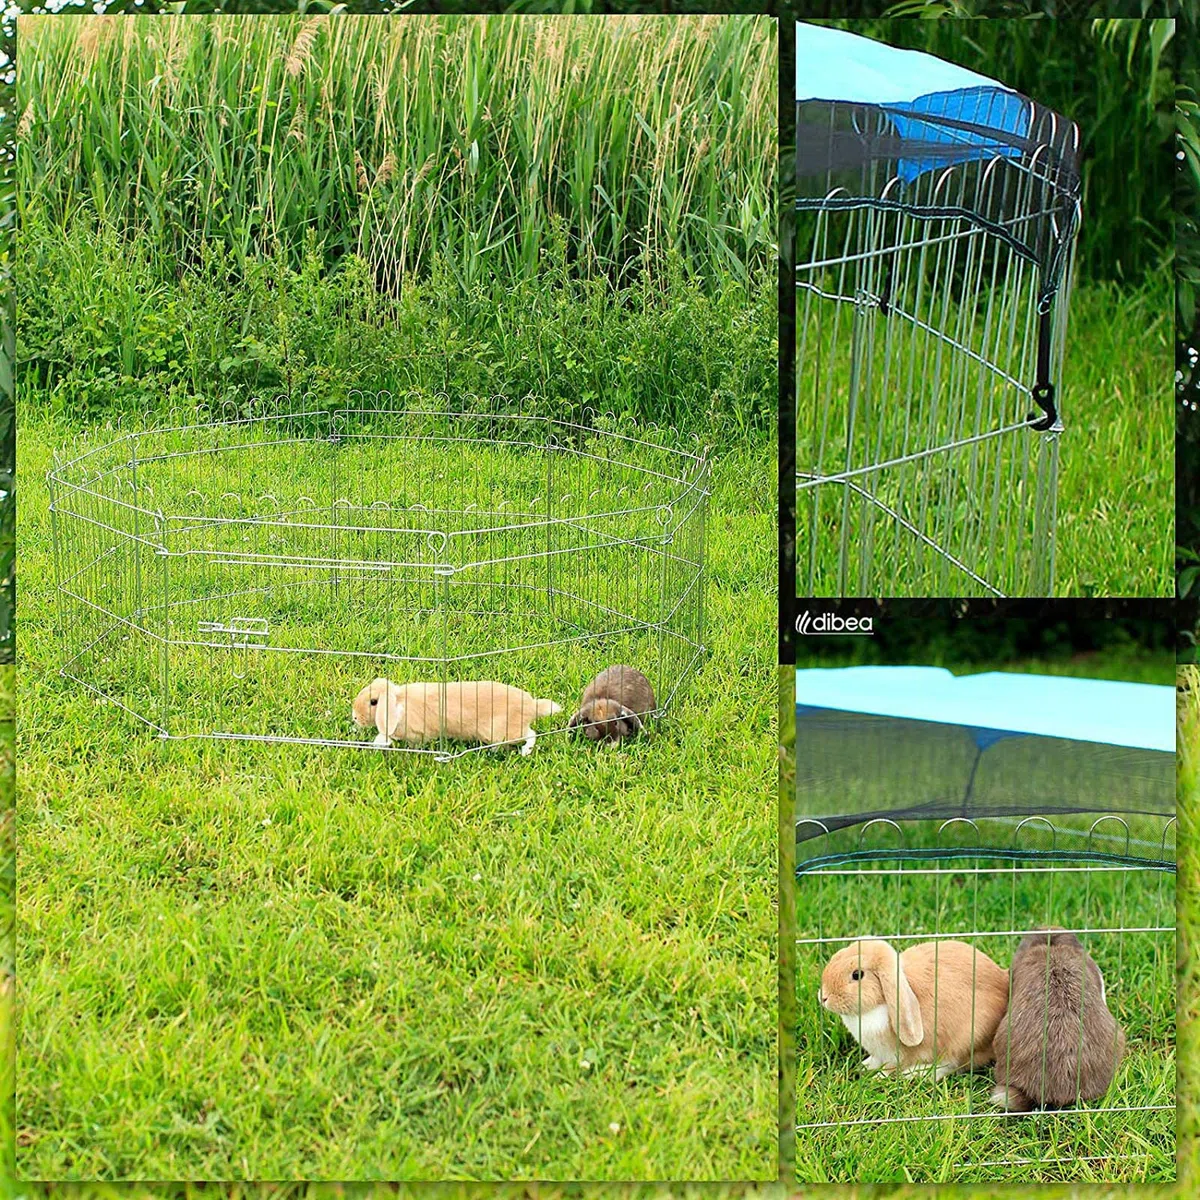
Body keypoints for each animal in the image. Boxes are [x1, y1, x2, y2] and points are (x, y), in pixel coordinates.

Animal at [352, 678, 561, 755]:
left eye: (374, 702)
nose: (354, 717)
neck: (399, 703)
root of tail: (532, 706)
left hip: (504, 731)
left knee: (531, 734)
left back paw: (522, 751)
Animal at [820, 938, 1009, 1080]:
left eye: (857, 975)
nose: (823, 997)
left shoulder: (896, 1055)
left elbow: (890, 1067)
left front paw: (878, 1076)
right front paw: (865, 1066)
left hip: (967, 1038)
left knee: (952, 1064)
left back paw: (915, 1074)